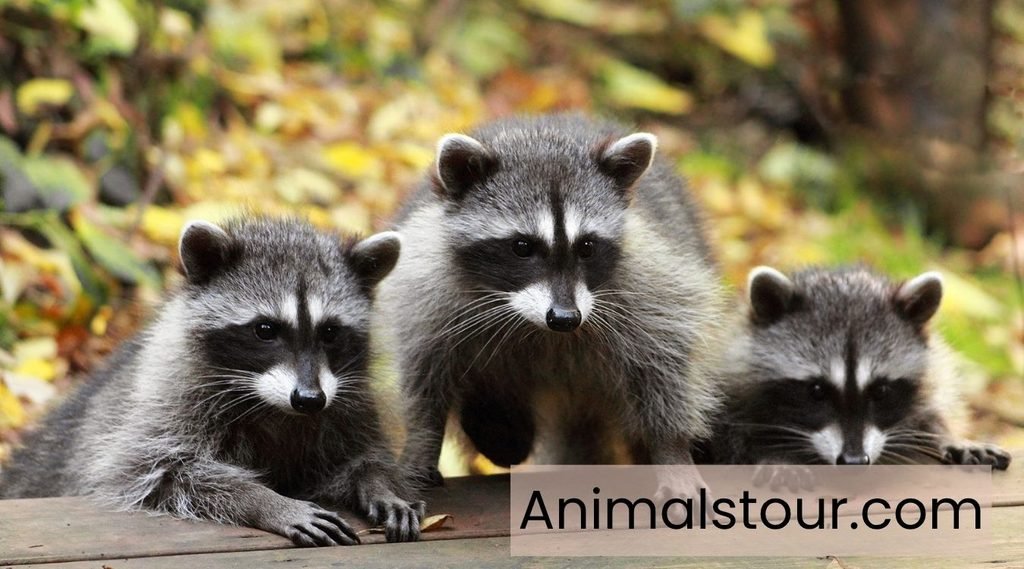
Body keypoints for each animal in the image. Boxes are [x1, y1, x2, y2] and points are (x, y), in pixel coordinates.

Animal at [0, 218, 425, 545]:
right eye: (265, 330)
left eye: (331, 332)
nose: (309, 399)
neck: (273, 406)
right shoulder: (169, 399)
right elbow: (163, 472)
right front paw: (264, 500)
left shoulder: (348, 403)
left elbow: (360, 457)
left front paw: (378, 483)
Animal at [378, 114, 728, 486]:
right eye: (522, 246)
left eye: (586, 246)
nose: (565, 318)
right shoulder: (426, 287)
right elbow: (423, 375)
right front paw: (422, 441)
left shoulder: (653, 285)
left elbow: (665, 365)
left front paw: (670, 450)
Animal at [702, 265, 1011, 470]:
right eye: (816, 391)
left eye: (881, 391)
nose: (854, 460)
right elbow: (729, 436)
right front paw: (774, 456)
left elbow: (931, 406)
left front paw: (947, 434)